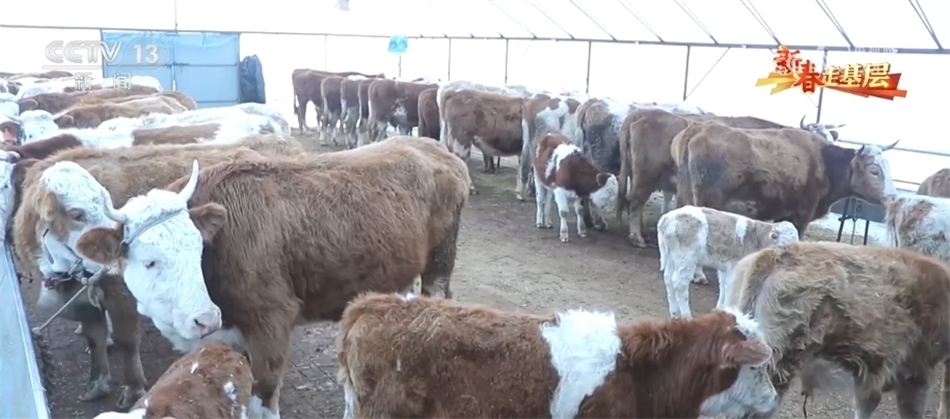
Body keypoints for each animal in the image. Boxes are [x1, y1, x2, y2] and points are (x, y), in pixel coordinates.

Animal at [13, 135, 303, 410]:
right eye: (76, 214)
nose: (119, 249)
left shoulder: (120, 296)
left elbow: (126, 340)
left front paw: (133, 388)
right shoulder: (87, 302)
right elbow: (95, 338)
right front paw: (98, 383)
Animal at [656, 205, 799, 318]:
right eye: (785, 245)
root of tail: (666, 218)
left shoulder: (725, 268)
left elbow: (724, 286)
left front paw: (721, 308)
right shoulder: (735, 267)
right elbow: (731, 287)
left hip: (672, 257)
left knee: (668, 279)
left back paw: (675, 313)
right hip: (686, 259)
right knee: (679, 284)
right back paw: (686, 316)